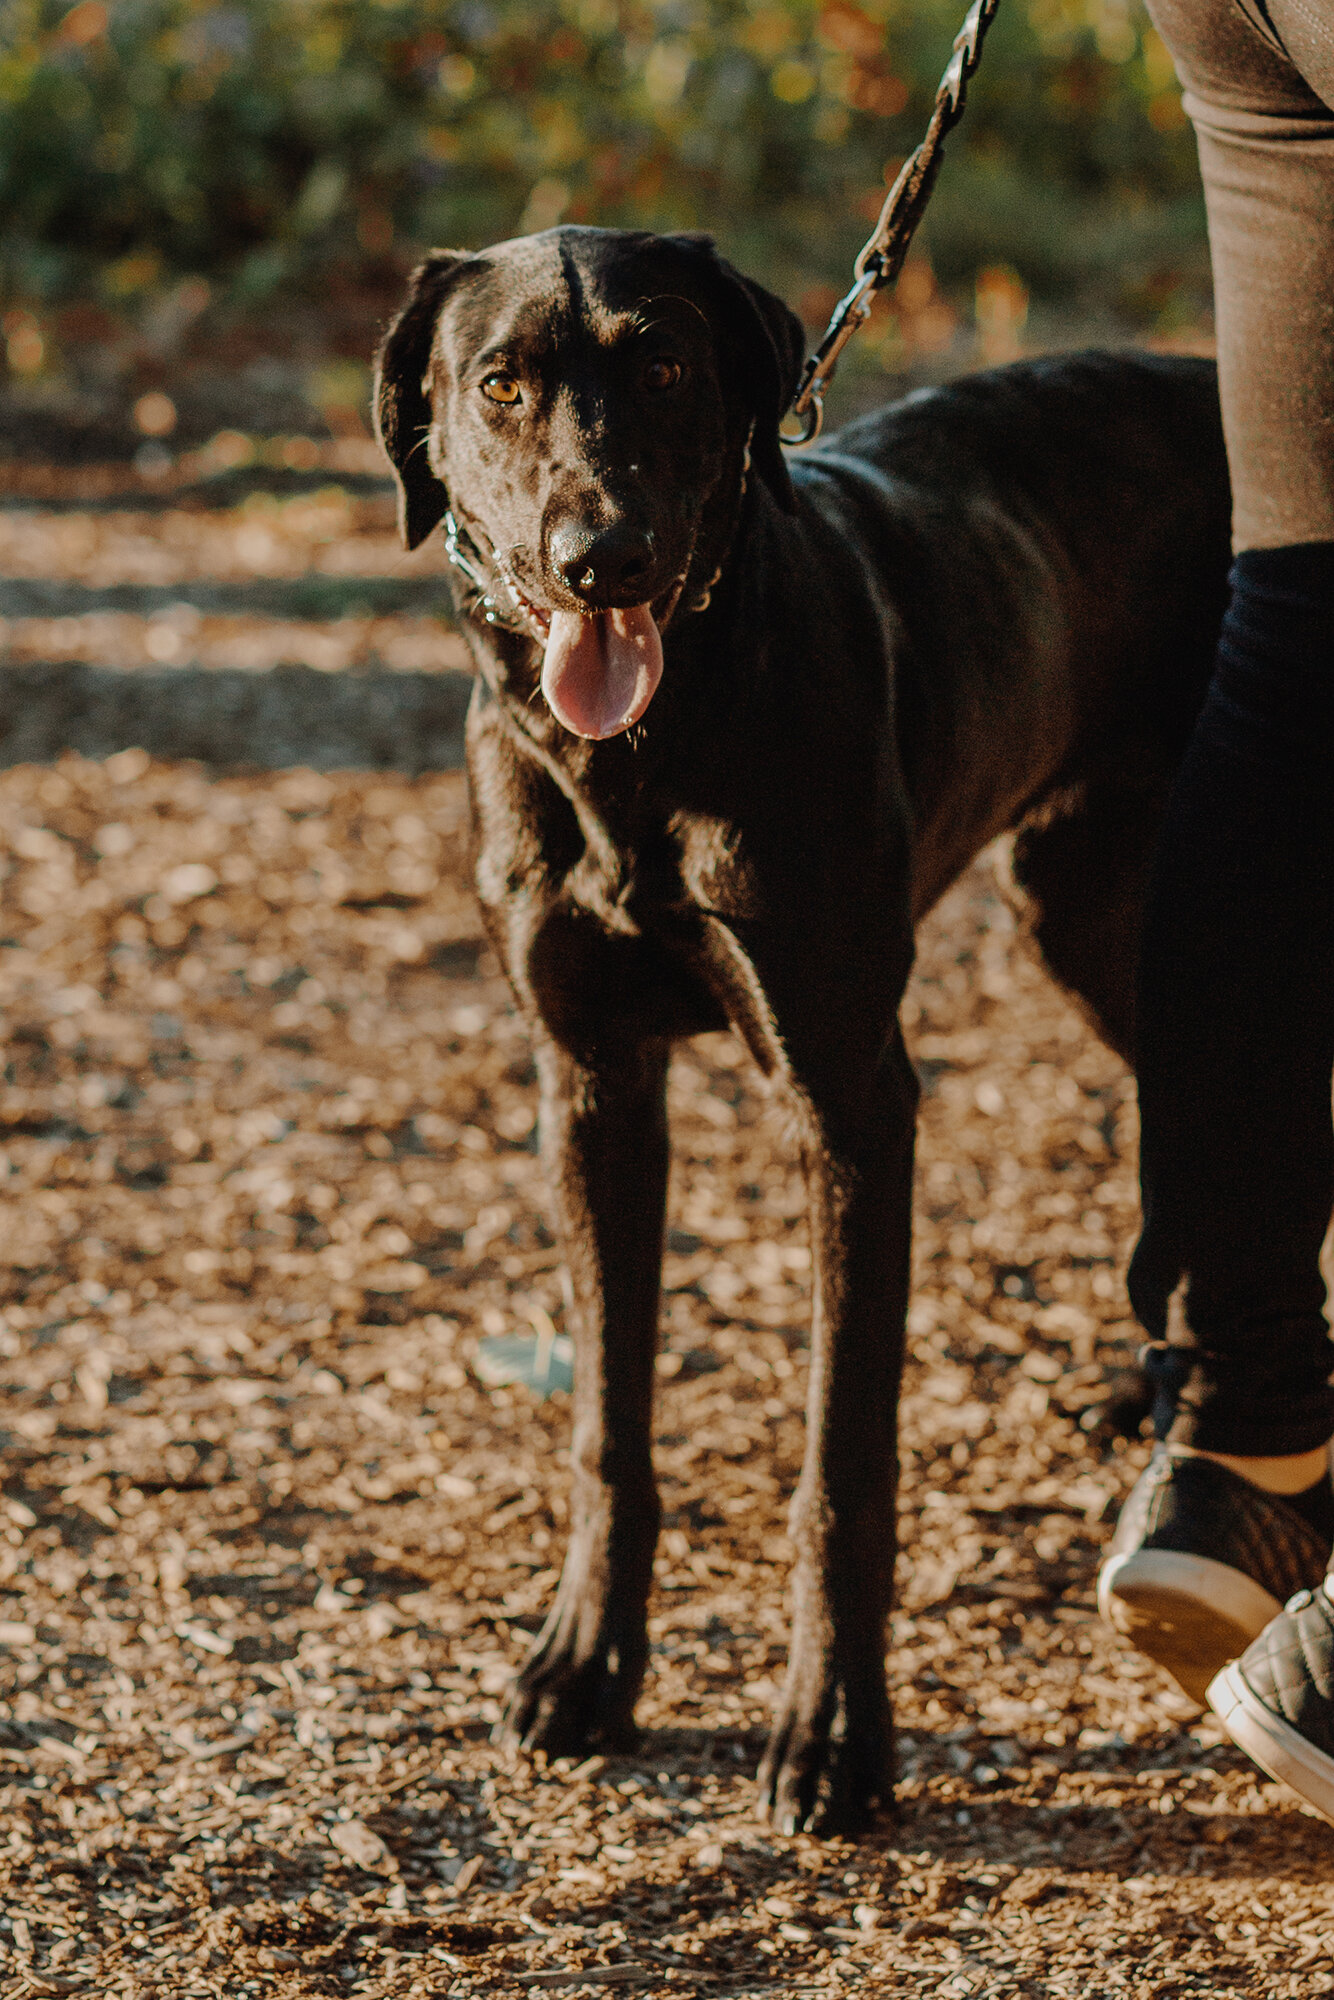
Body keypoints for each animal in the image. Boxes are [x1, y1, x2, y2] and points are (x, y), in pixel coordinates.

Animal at [374, 227, 1232, 1832]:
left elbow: (840, 1457)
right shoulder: (592, 1084)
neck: (642, 758)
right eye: (500, 383)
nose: (602, 559)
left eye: (663, 363)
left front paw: (833, 1730)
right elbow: (607, 1422)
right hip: (1087, 916)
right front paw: (585, 1666)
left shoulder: (849, 1099)